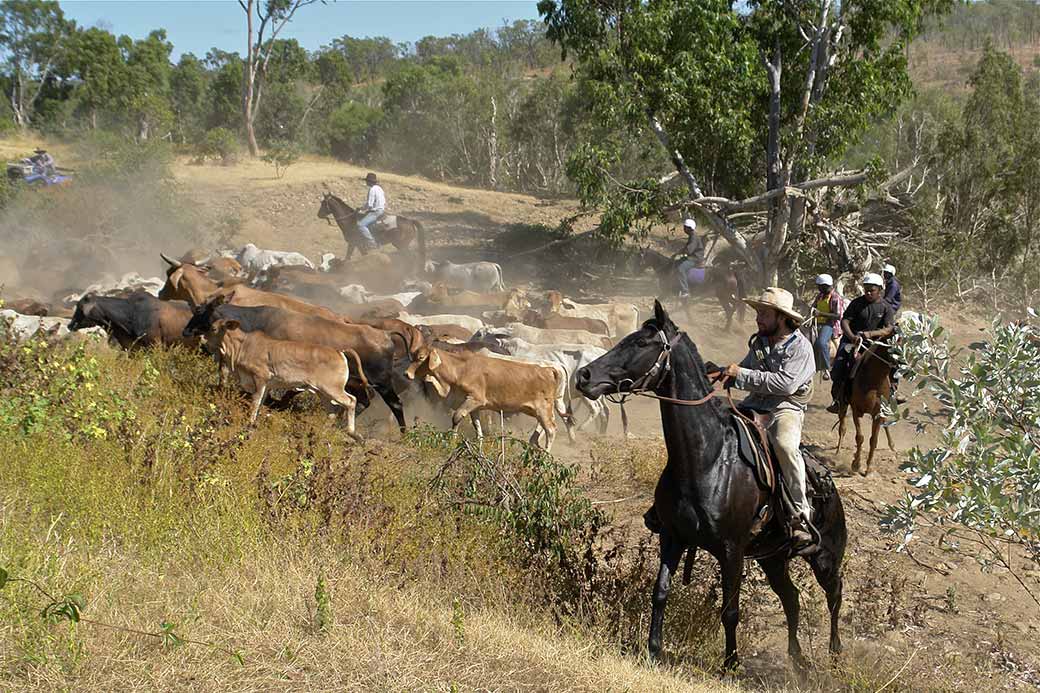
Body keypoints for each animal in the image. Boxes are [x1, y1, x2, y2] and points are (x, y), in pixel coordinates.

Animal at [202, 316, 366, 434]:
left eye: (213, 328)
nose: (203, 339)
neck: (241, 347)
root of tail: (339, 351)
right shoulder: (267, 385)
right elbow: (260, 402)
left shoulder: (260, 378)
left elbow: (255, 401)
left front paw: (250, 422)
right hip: (321, 392)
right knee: (332, 412)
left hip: (332, 389)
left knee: (351, 401)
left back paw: (351, 431)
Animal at [405, 343, 569, 451]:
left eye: (421, 357)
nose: (406, 373)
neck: (461, 369)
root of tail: (550, 369)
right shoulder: (474, 406)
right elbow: (477, 426)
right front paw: (480, 445)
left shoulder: (474, 399)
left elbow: (456, 417)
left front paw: (452, 440)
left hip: (543, 409)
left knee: (551, 429)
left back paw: (546, 453)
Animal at [578, 301, 844, 670]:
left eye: (641, 343)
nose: (584, 376)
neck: (707, 459)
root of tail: (828, 485)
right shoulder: (672, 537)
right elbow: (660, 592)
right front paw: (653, 649)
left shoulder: (731, 551)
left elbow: (730, 611)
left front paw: (731, 663)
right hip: (773, 559)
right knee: (792, 598)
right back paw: (797, 659)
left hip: (826, 555)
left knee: (835, 593)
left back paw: (835, 652)